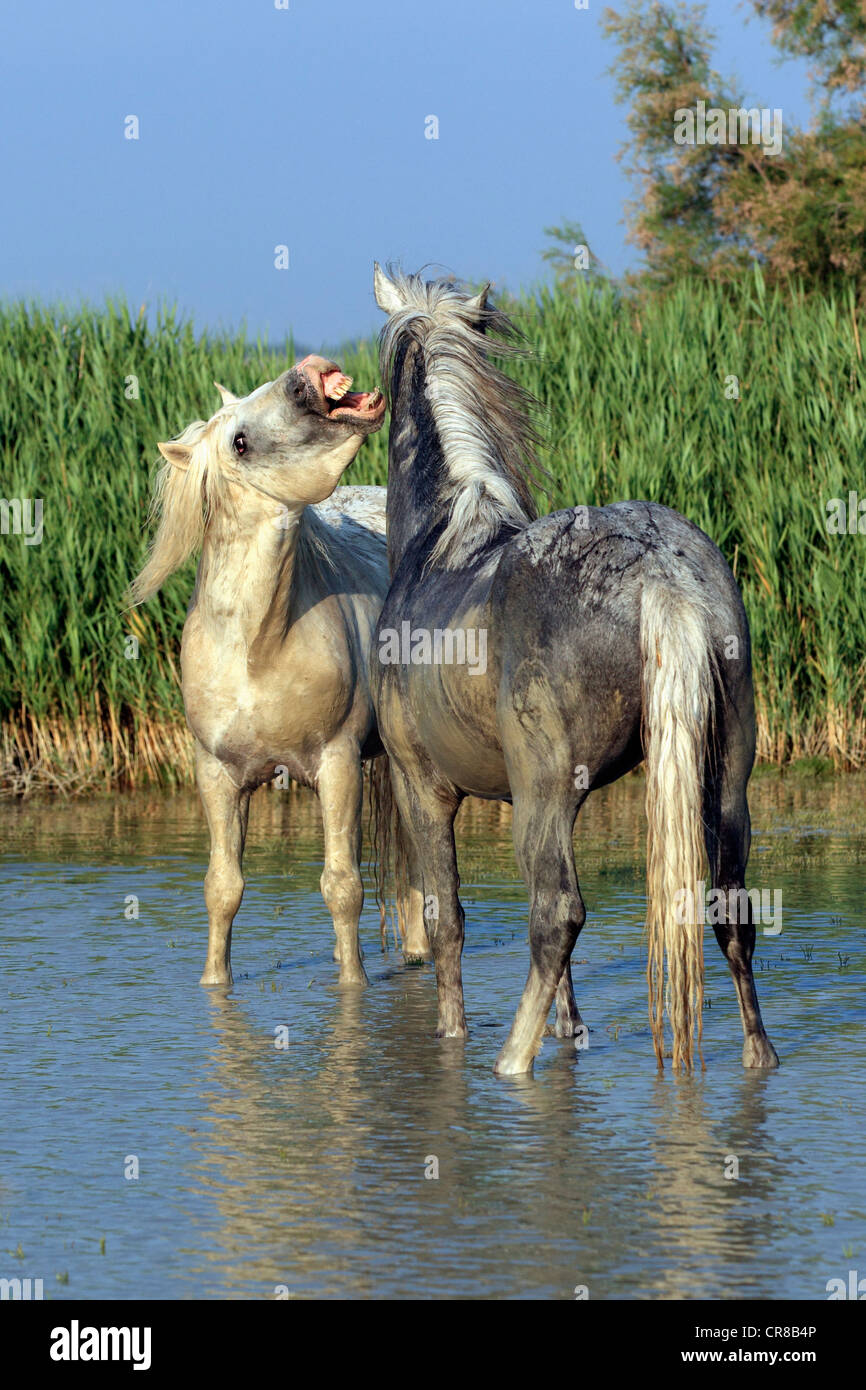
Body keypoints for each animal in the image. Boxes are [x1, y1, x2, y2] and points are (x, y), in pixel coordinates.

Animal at [131, 358, 430, 989]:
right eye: (238, 442)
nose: (309, 373)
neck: (255, 651)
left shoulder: (338, 765)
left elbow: (342, 888)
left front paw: (353, 987)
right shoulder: (216, 775)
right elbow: (223, 889)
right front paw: (214, 985)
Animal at [369, 265, 778, 1078]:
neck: (442, 541)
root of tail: (659, 573)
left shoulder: (423, 787)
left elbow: (446, 920)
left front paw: (452, 1037)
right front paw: (571, 1030)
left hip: (544, 792)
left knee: (556, 915)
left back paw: (509, 1062)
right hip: (724, 784)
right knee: (728, 913)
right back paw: (758, 1056)